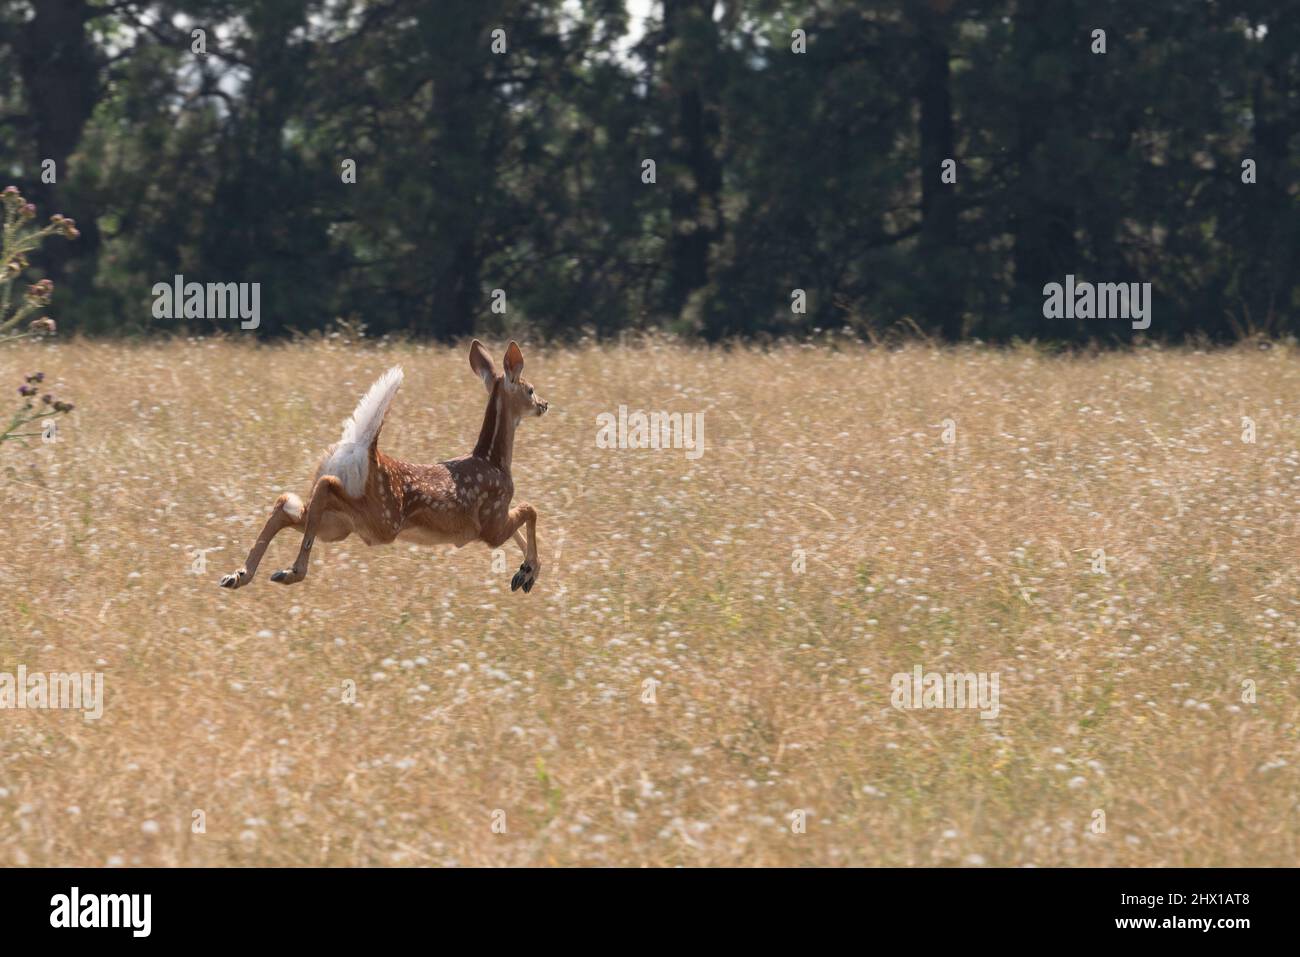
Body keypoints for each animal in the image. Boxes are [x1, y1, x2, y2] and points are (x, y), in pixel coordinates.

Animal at [219, 340, 548, 593]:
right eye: (530, 389)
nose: (544, 404)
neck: (493, 460)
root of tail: (363, 448)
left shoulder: (496, 523)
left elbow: (523, 521)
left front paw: (524, 571)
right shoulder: (491, 521)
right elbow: (530, 509)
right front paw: (527, 573)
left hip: (340, 524)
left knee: (288, 504)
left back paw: (239, 575)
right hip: (380, 518)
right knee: (322, 488)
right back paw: (291, 571)